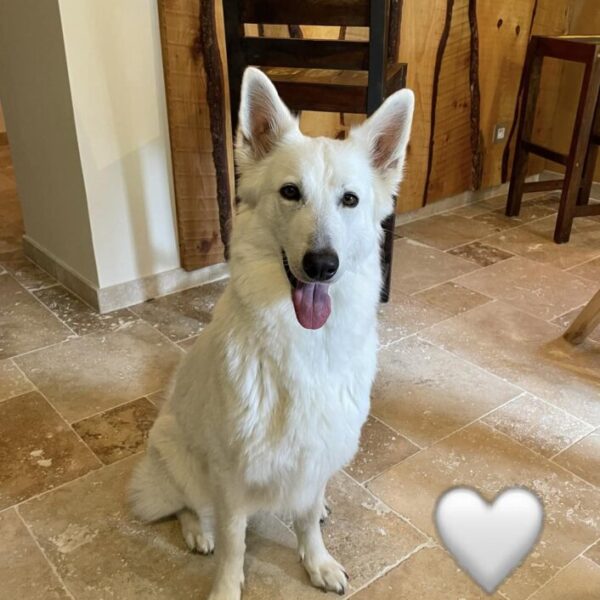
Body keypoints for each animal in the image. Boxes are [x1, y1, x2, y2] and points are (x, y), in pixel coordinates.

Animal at [130, 68, 412, 596]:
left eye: (349, 200)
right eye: (290, 193)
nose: (322, 265)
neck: (307, 345)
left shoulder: (318, 450)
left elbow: (304, 517)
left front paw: (316, 560)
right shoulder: (230, 472)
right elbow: (235, 541)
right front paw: (226, 586)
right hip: (181, 459)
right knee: (185, 505)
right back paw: (197, 530)